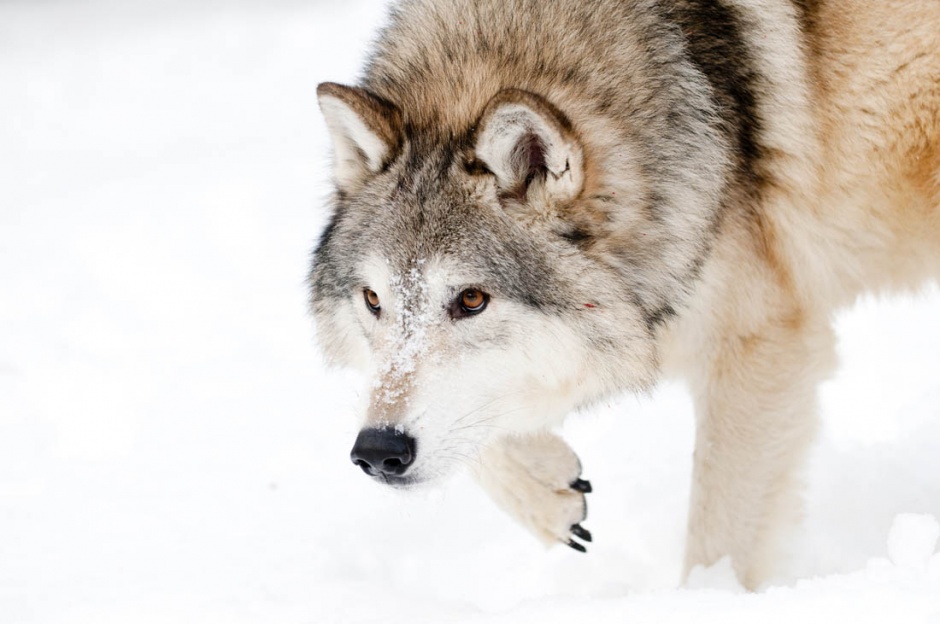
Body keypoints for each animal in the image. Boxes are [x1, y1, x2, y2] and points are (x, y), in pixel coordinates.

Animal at [310, 0, 940, 588]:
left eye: (471, 300)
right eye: (373, 301)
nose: (376, 454)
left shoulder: (758, 347)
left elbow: (720, 536)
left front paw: (707, 599)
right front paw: (549, 490)